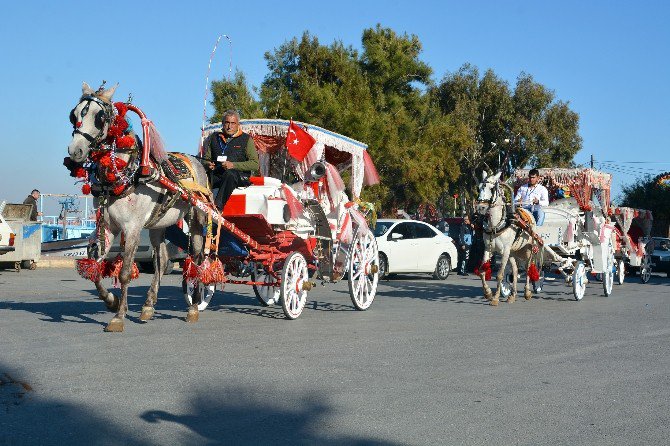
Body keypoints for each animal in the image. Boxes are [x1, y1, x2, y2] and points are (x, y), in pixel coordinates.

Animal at [67, 82, 210, 330]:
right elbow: (94, 265)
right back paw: (148, 305)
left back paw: (194, 306)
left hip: (197, 219)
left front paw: (119, 316)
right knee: (162, 260)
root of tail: (196, 160)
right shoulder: (107, 227)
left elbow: (125, 272)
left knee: (197, 258)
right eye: (73, 115)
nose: (75, 151)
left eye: (99, 117)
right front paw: (111, 301)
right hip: (157, 224)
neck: (128, 172)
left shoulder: (132, 227)